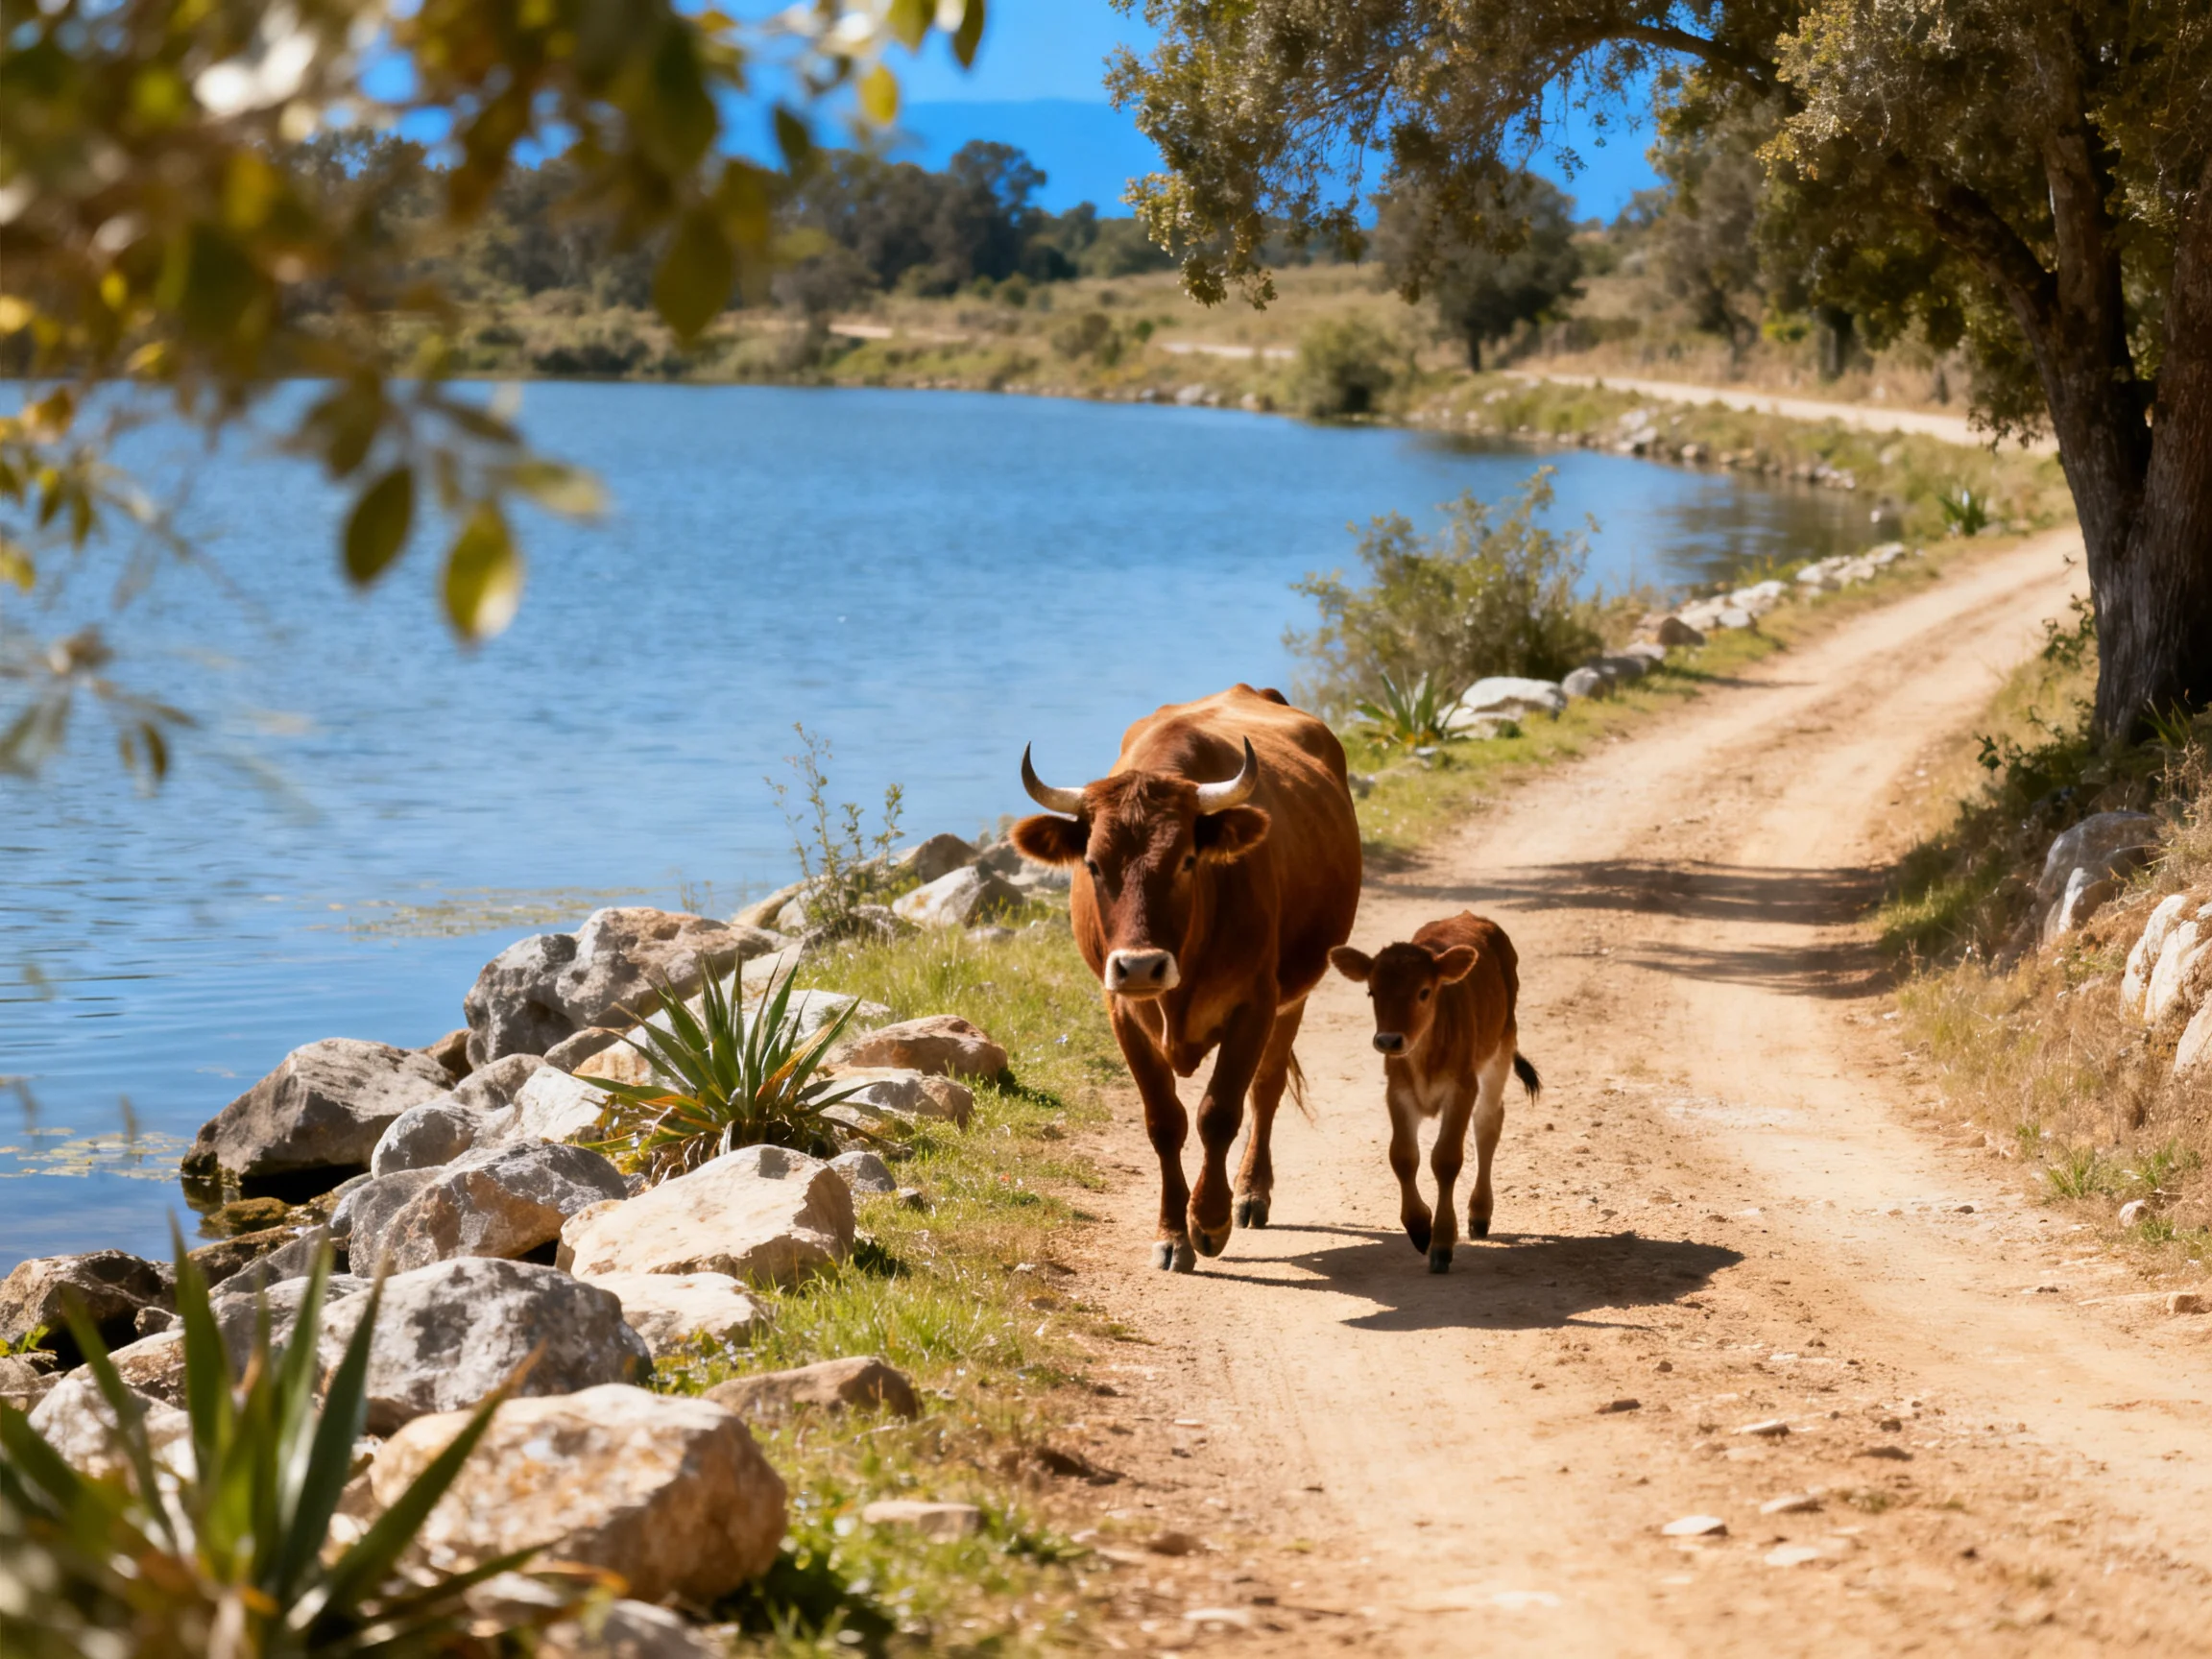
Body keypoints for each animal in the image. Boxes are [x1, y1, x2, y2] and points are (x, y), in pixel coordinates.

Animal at [1014, 684, 1362, 1271]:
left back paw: (1251, 1193)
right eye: (1093, 864)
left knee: (1266, 1089)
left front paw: (1210, 1220)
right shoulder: (1122, 1012)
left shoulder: (1255, 1004)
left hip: (1294, 995)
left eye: (1186, 860)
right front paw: (1172, 1234)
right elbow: (1165, 1121)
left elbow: (1219, 1112)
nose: (1139, 966)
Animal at [1328, 912, 1541, 1274]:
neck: (1425, 1053)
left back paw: (1479, 1213)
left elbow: (1446, 1158)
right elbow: (1402, 1156)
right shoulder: (1397, 1091)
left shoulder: (1462, 1089)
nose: (1388, 1040)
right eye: (1371, 991)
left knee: (1488, 1122)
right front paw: (1418, 1227)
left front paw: (1442, 1242)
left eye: (1424, 991)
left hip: (1502, 1044)